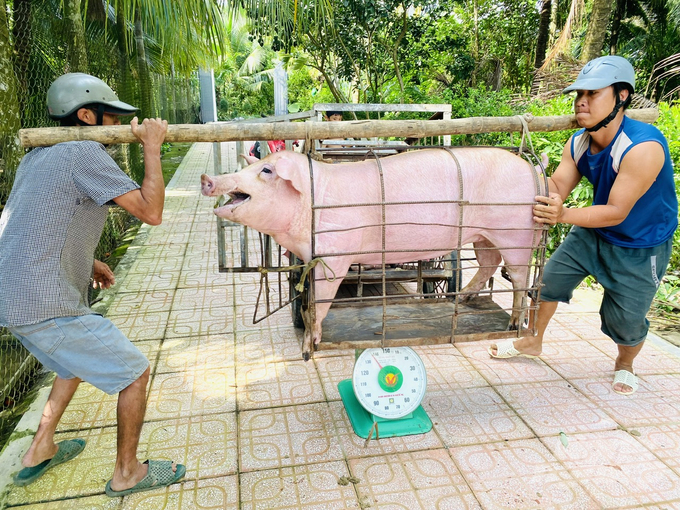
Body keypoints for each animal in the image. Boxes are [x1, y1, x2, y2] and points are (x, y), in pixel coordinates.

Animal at [201, 148, 548, 358]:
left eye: (266, 170)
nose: (207, 178)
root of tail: (534, 169)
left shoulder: (336, 255)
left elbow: (323, 300)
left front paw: (311, 343)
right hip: (483, 235)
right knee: (490, 263)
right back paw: (461, 298)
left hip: (515, 231)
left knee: (519, 277)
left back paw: (513, 323)